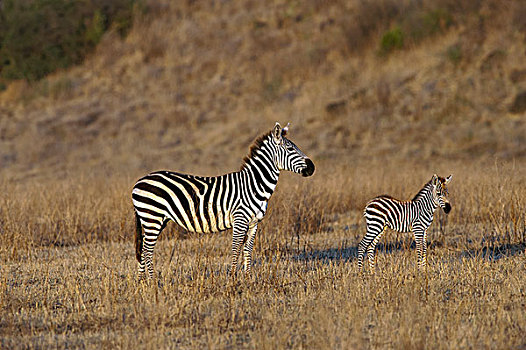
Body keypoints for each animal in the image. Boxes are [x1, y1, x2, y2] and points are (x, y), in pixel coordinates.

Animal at [132, 123, 316, 278]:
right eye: (290, 148)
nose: (312, 168)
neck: (254, 185)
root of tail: (139, 181)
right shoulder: (240, 220)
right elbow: (235, 249)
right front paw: (233, 279)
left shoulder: (254, 222)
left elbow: (248, 250)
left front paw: (248, 278)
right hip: (152, 217)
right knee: (147, 250)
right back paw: (153, 282)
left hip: (154, 219)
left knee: (143, 249)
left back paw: (143, 284)